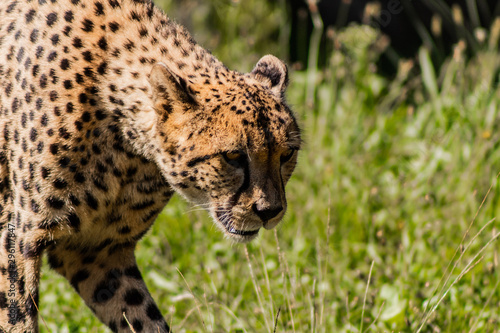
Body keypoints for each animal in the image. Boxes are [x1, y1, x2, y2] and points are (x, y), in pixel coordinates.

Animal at [0, 0, 300, 330]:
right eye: (233, 156)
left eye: (287, 155)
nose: (269, 211)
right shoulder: (19, 238)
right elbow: (16, 318)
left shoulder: (97, 252)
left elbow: (143, 317)